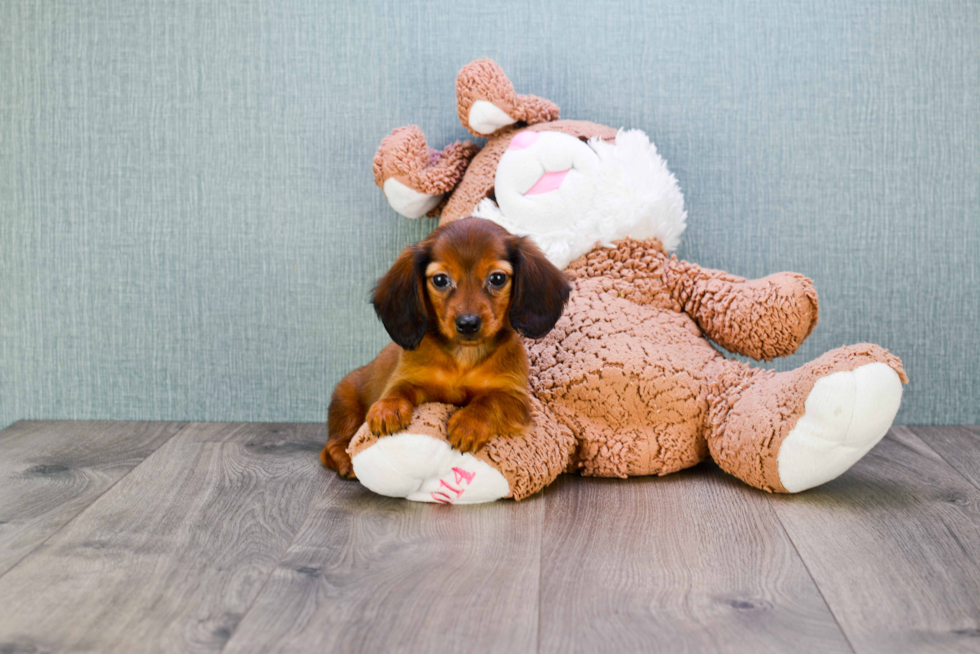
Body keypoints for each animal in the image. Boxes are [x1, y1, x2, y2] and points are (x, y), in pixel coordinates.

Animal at [318, 218, 572, 480]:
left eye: (497, 278)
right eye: (440, 280)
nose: (468, 323)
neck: (464, 356)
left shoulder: (515, 398)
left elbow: (489, 401)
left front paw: (469, 424)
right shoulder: (410, 378)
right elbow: (398, 390)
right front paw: (388, 408)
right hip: (346, 404)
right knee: (330, 448)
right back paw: (346, 463)